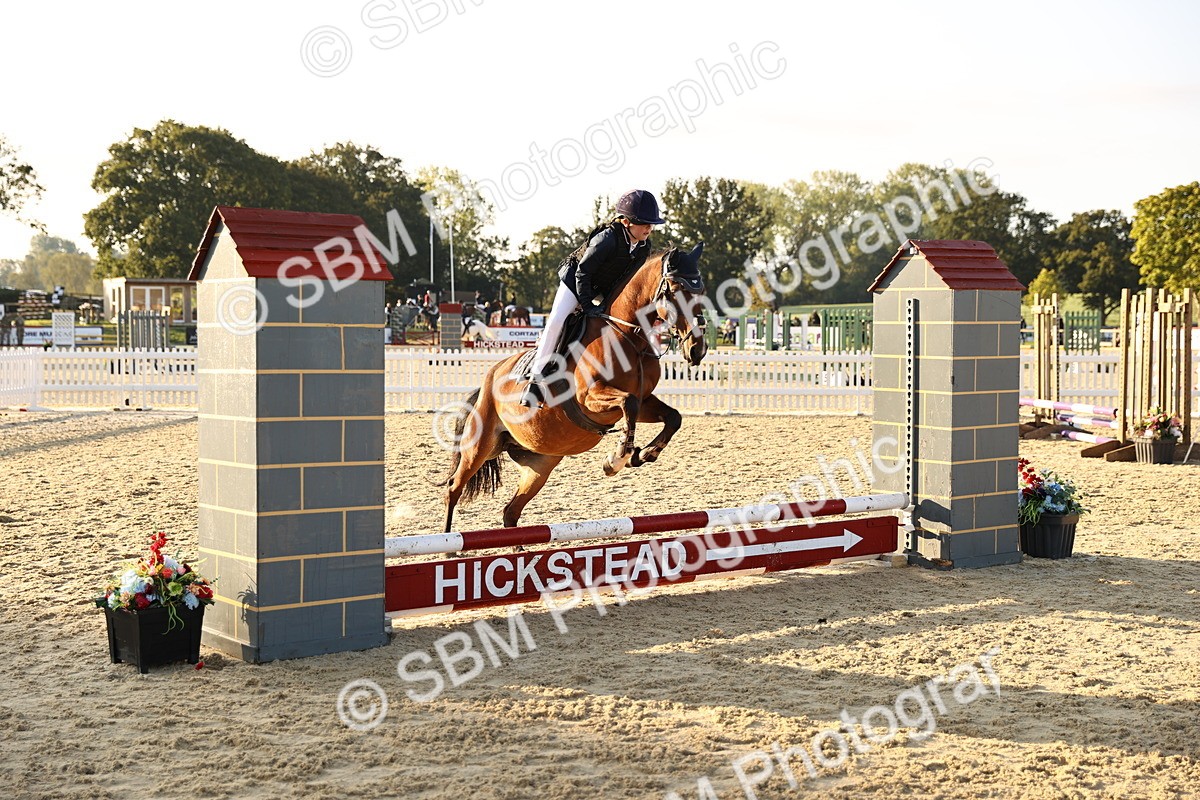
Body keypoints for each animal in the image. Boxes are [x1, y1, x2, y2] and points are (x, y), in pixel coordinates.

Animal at [437, 243, 708, 533]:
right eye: (675, 289)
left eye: (700, 290)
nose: (697, 350)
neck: (627, 336)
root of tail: (490, 377)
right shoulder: (590, 398)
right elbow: (629, 404)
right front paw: (617, 459)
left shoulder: (644, 400)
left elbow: (672, 417)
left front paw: (644, 454)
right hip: (479, 446)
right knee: (453, 488)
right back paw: (447, 540)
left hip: (539, 464)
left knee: (510, 511)